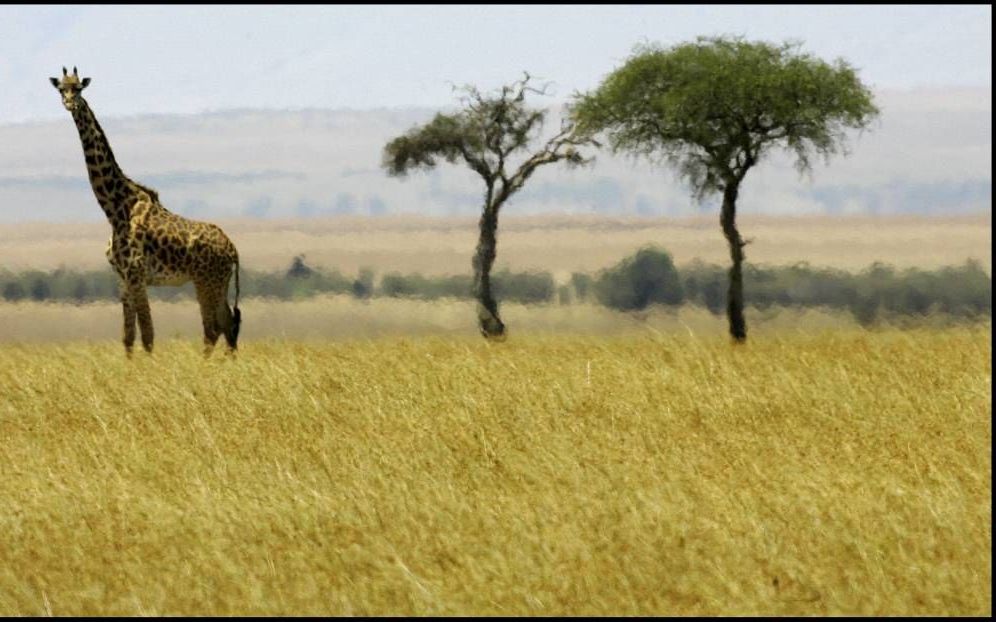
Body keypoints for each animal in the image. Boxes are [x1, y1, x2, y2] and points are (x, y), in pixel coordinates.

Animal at [51, 66, 243, 358]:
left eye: (79, 89)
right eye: (62, 88)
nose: (69, 104)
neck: (115, 208)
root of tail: (233, 250)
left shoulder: (137, 273)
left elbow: (148, 336)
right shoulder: (123, 277)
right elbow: (128, 336)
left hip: (207, 281)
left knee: (213, 328)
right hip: (217, 282)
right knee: (227, 323)